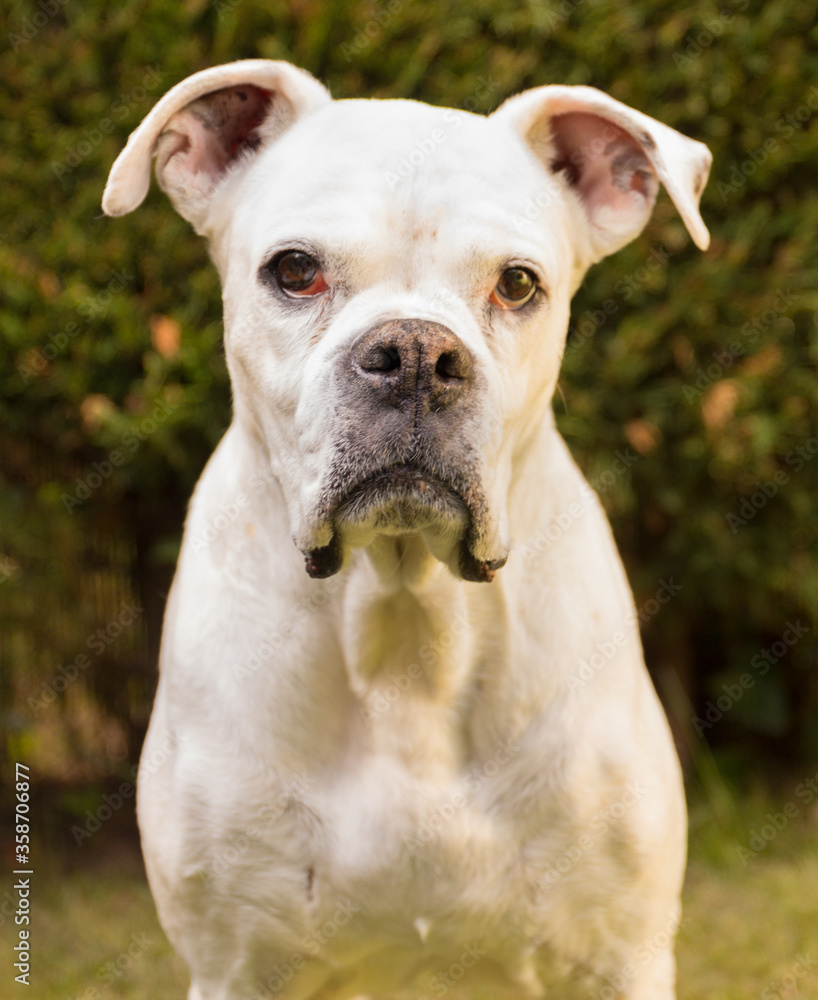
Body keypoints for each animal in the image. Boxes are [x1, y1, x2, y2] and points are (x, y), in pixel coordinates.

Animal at [103, 60, 708, 1000]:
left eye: (518, 284)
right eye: (295, 270)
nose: (418, 355)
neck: (404, 615)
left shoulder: (621, 955)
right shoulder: (236, 962)